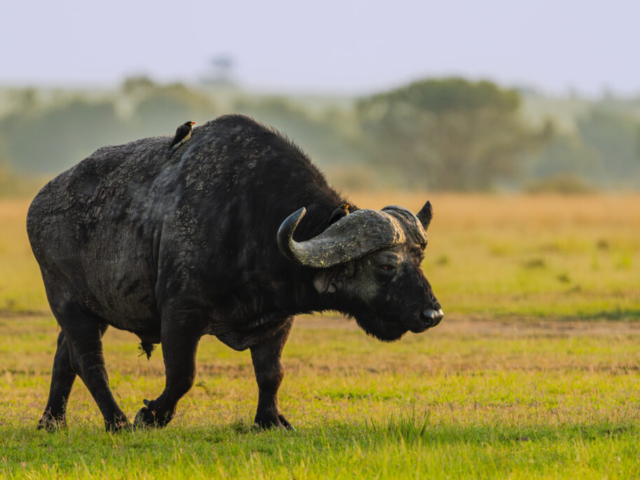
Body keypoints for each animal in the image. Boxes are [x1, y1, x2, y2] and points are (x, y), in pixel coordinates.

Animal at [27, 115, 443, 431]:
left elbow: (271, 374)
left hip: (92, 310)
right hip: (68, 304)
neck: (252, 221)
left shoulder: (277, 320)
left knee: (64, 356)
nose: (432, 314)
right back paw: (116, 422)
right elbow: (182, 374)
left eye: (419, 259)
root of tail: (40, 202)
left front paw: (270, 420)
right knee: (89, 362)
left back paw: (52, 421)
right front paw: (151, 415)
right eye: (386, 265)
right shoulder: (180, 313)